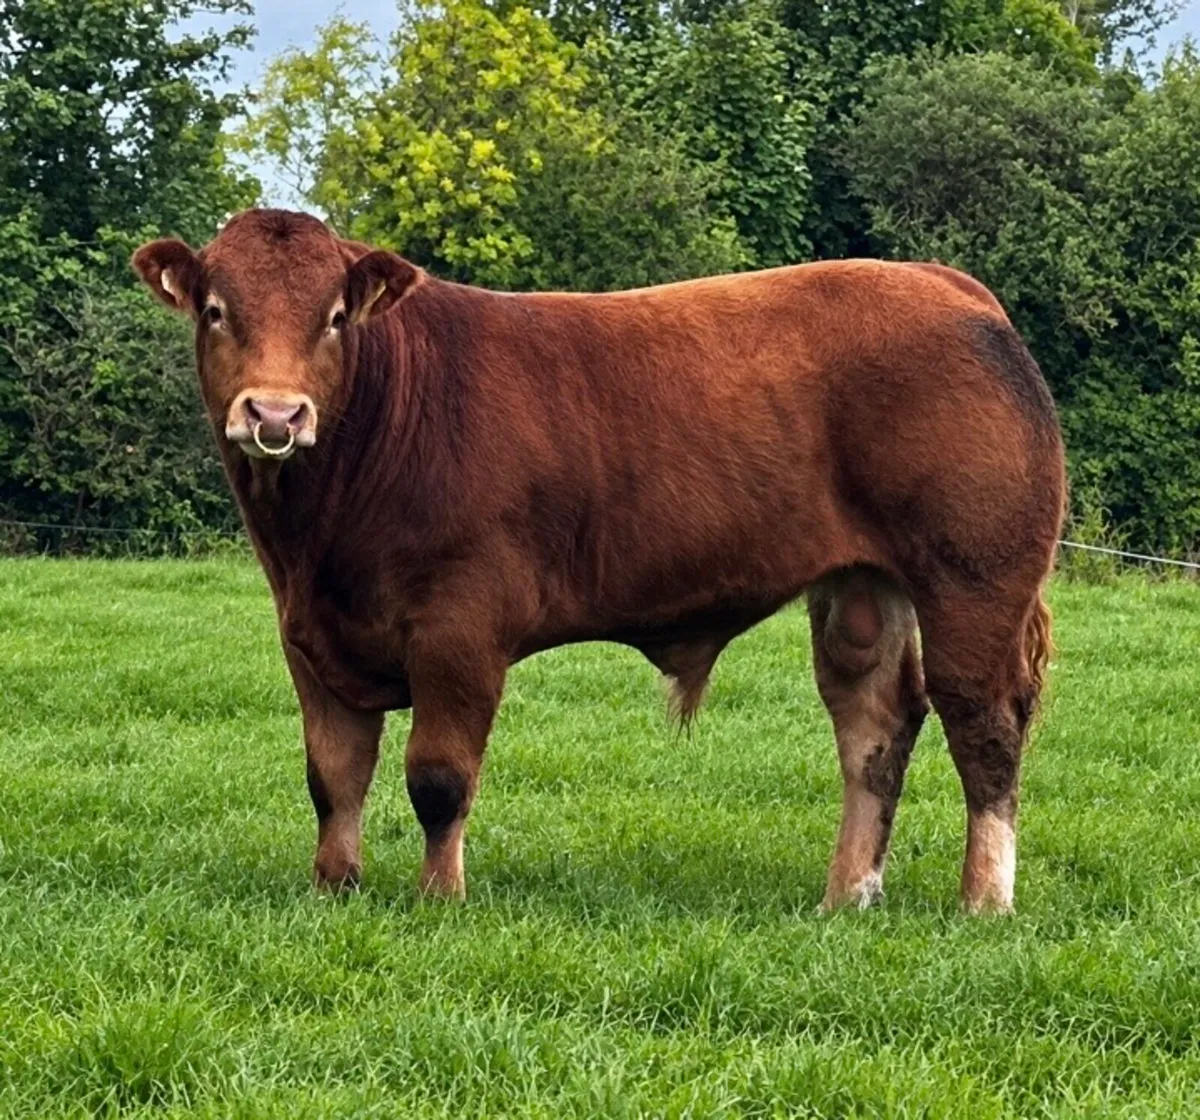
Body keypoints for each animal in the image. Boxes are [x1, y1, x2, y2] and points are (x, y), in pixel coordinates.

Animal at [133, 208, 1065, 914]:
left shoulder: (461, 629)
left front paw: (440, 896)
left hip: (973, 580)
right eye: (215, 310)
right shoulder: (311, 639)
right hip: (863, 587)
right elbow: (333, 777)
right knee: (875, 723)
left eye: (333, 317)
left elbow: (438, 777)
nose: (276, 414)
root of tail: (948, 286)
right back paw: (847, 895)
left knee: (982, 722)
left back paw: (983, 900)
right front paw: (335, 887)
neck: (316, 540)